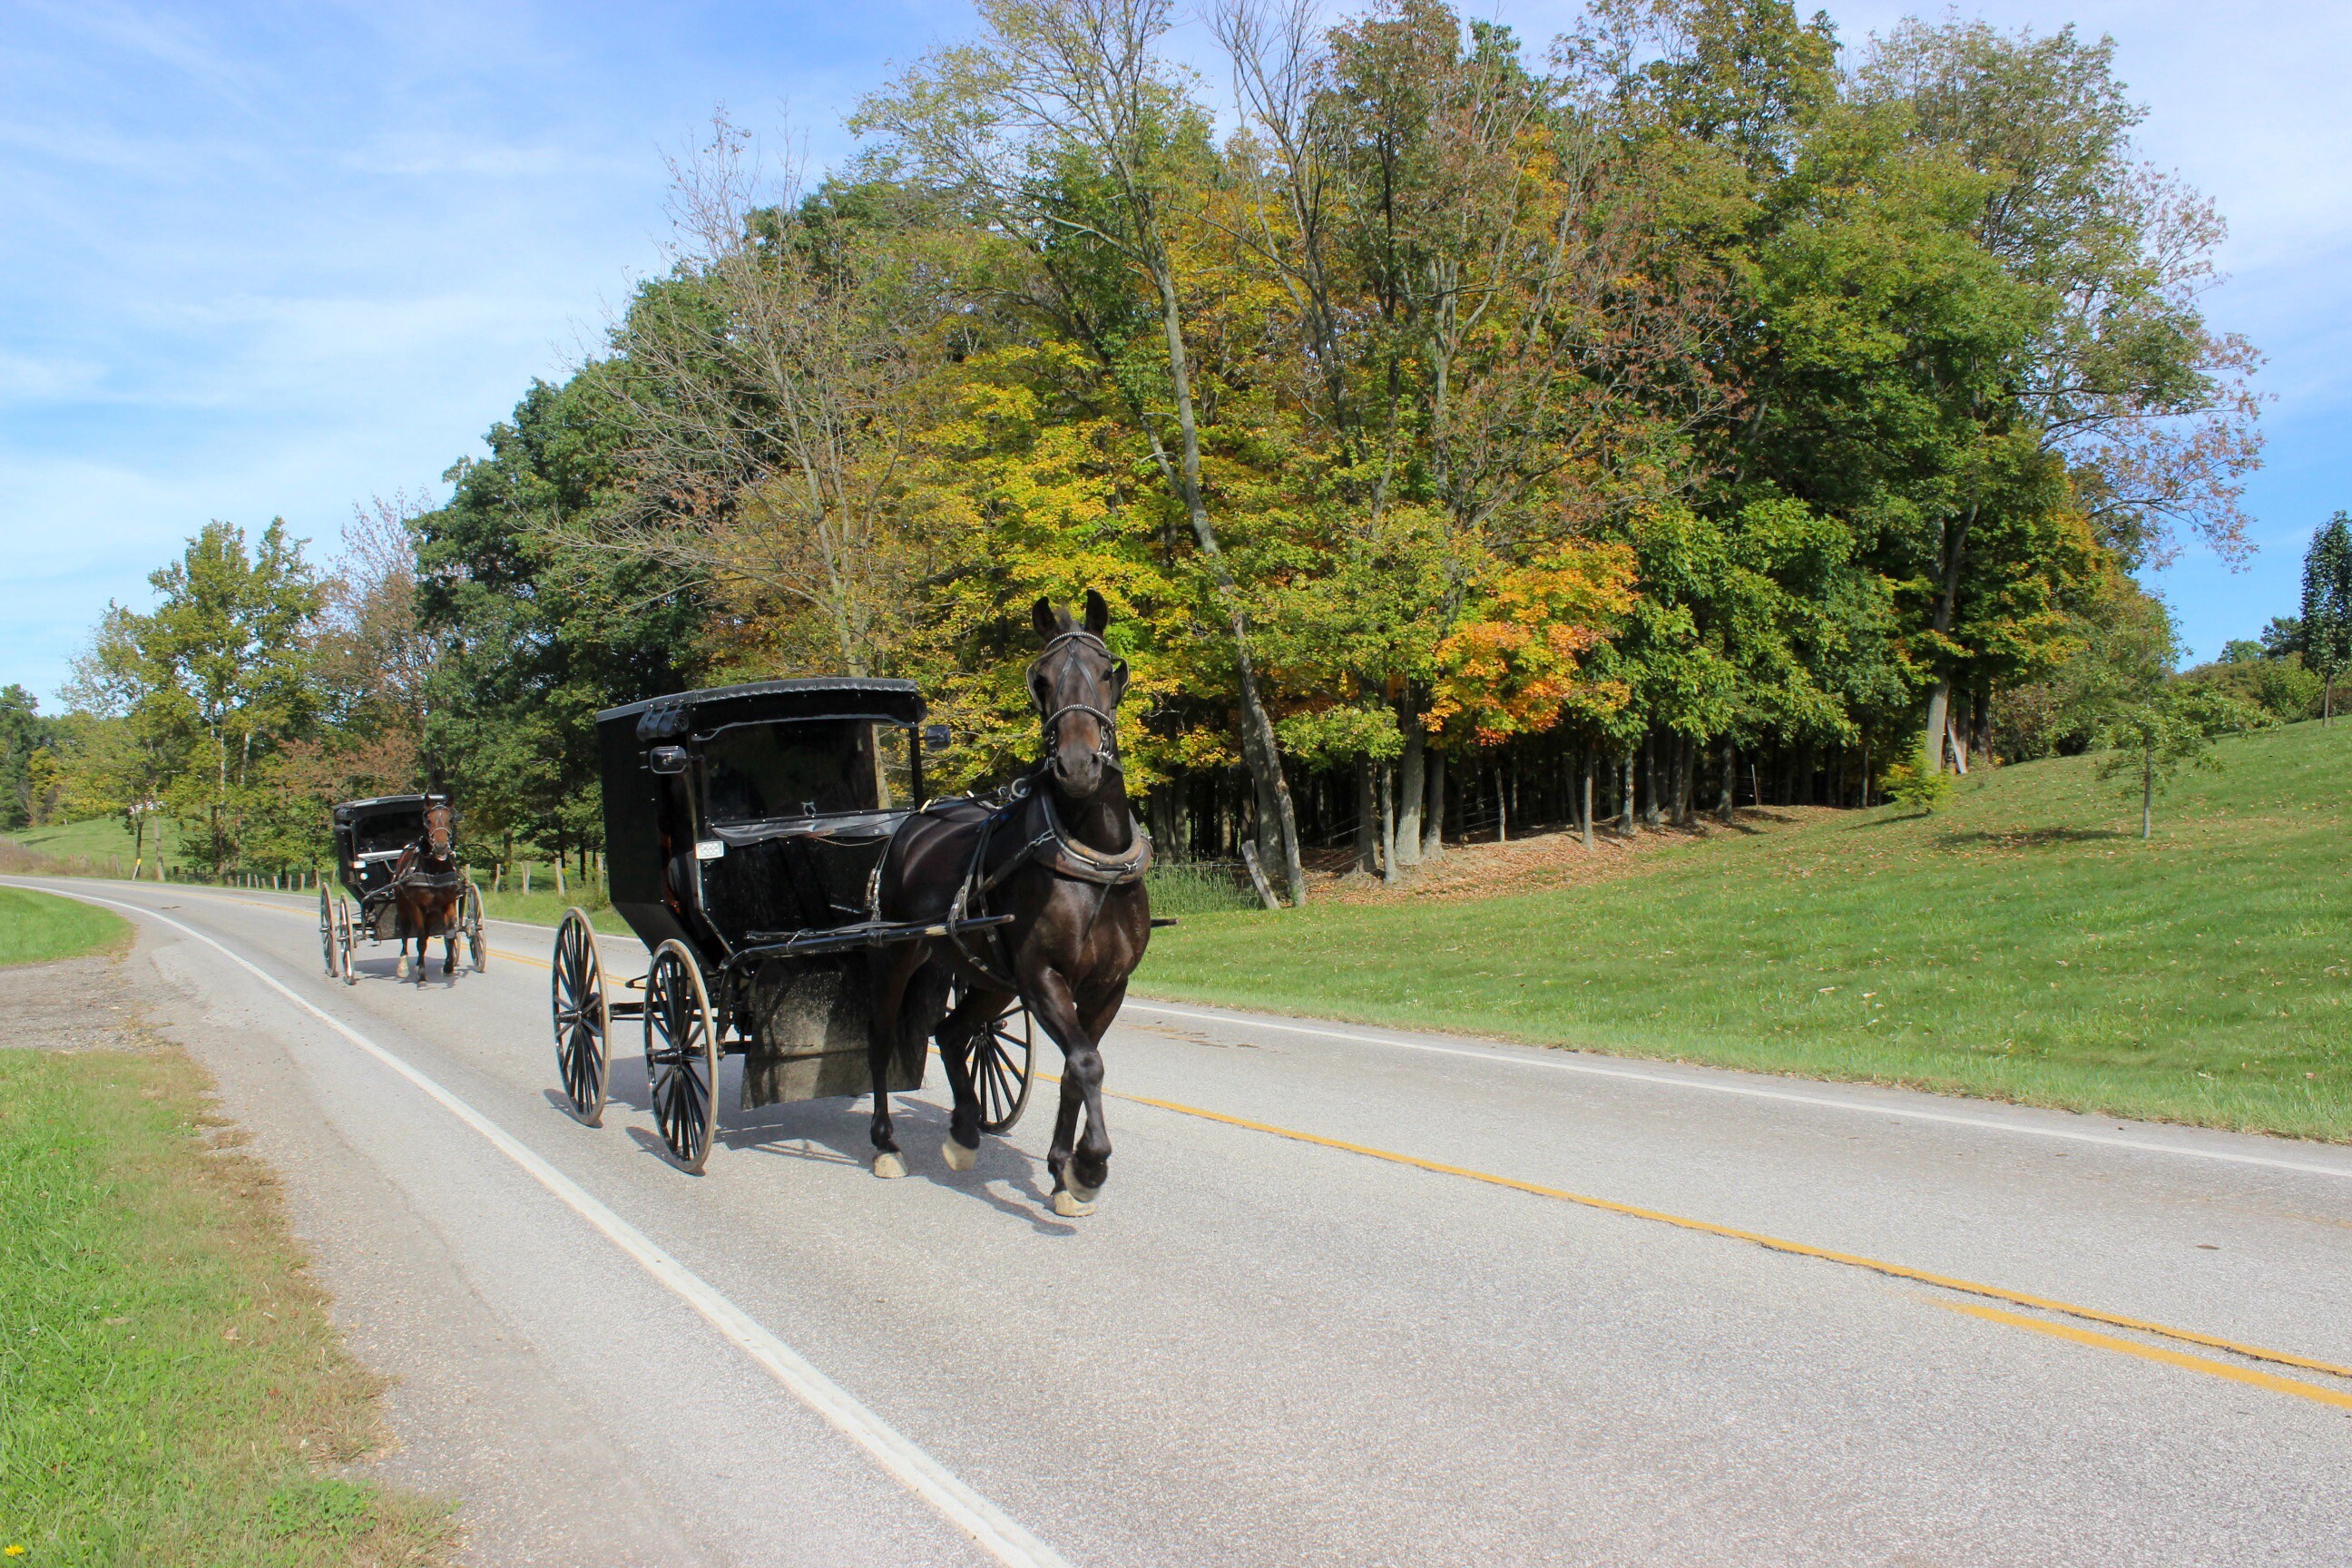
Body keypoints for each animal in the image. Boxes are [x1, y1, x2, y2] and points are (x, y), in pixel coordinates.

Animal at [870, 594, 1152, 1222]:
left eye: (1107, 672)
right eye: (1040, 680)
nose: (1077, 765)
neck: (1092, 862)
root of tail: (913, 825)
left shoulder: (1108, 985)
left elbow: (1076, 1068)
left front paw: (1061, 1173)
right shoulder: (1042, 977)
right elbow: (1087, 1064)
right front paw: (1090, 1167)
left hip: (989, 978)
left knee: (954, 1032)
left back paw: (964, 1131)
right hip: (899, 956)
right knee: (881, 1037)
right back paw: (885, 1144)